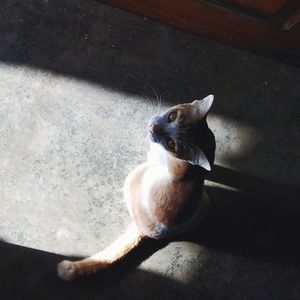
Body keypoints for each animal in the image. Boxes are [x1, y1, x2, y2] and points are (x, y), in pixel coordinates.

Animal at [56, 95, 216, 280]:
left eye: (170, 143)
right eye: (172, 116)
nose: (154, 128)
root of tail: (146, 231)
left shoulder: (155, 159)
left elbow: (152, 156)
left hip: (133, 176)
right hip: (204, 203)